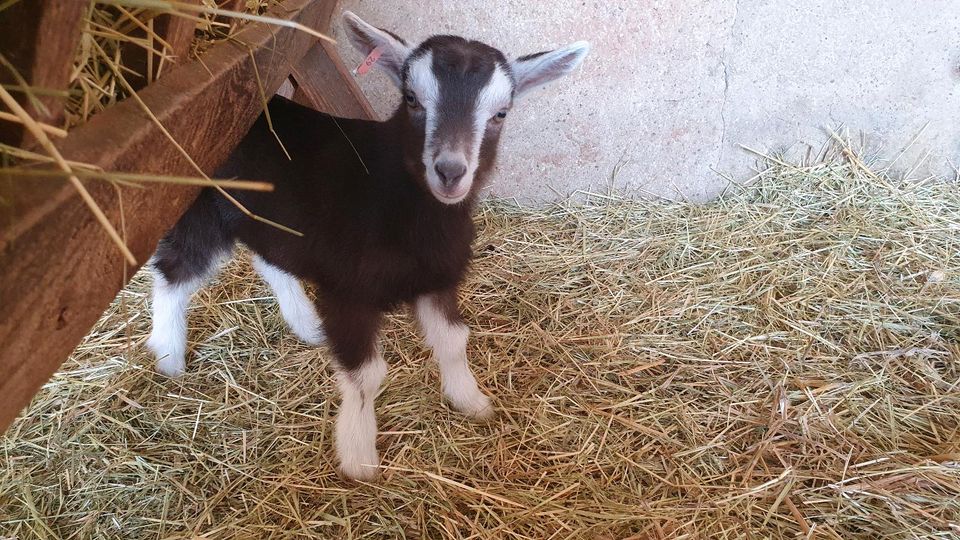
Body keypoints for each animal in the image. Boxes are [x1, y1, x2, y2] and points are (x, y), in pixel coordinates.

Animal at [146, 10, 588, 478]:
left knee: (267, 261)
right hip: (203, 211)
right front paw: (359, 458)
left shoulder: (438, 279)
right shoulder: (348, 292)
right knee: (175, 270)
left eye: (501, 113)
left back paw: (306, 325)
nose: (450, 171)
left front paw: (472, 401)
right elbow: (367, 375)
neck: (394, 201)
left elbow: (453, 341)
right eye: (411, 99)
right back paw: (169, 357)